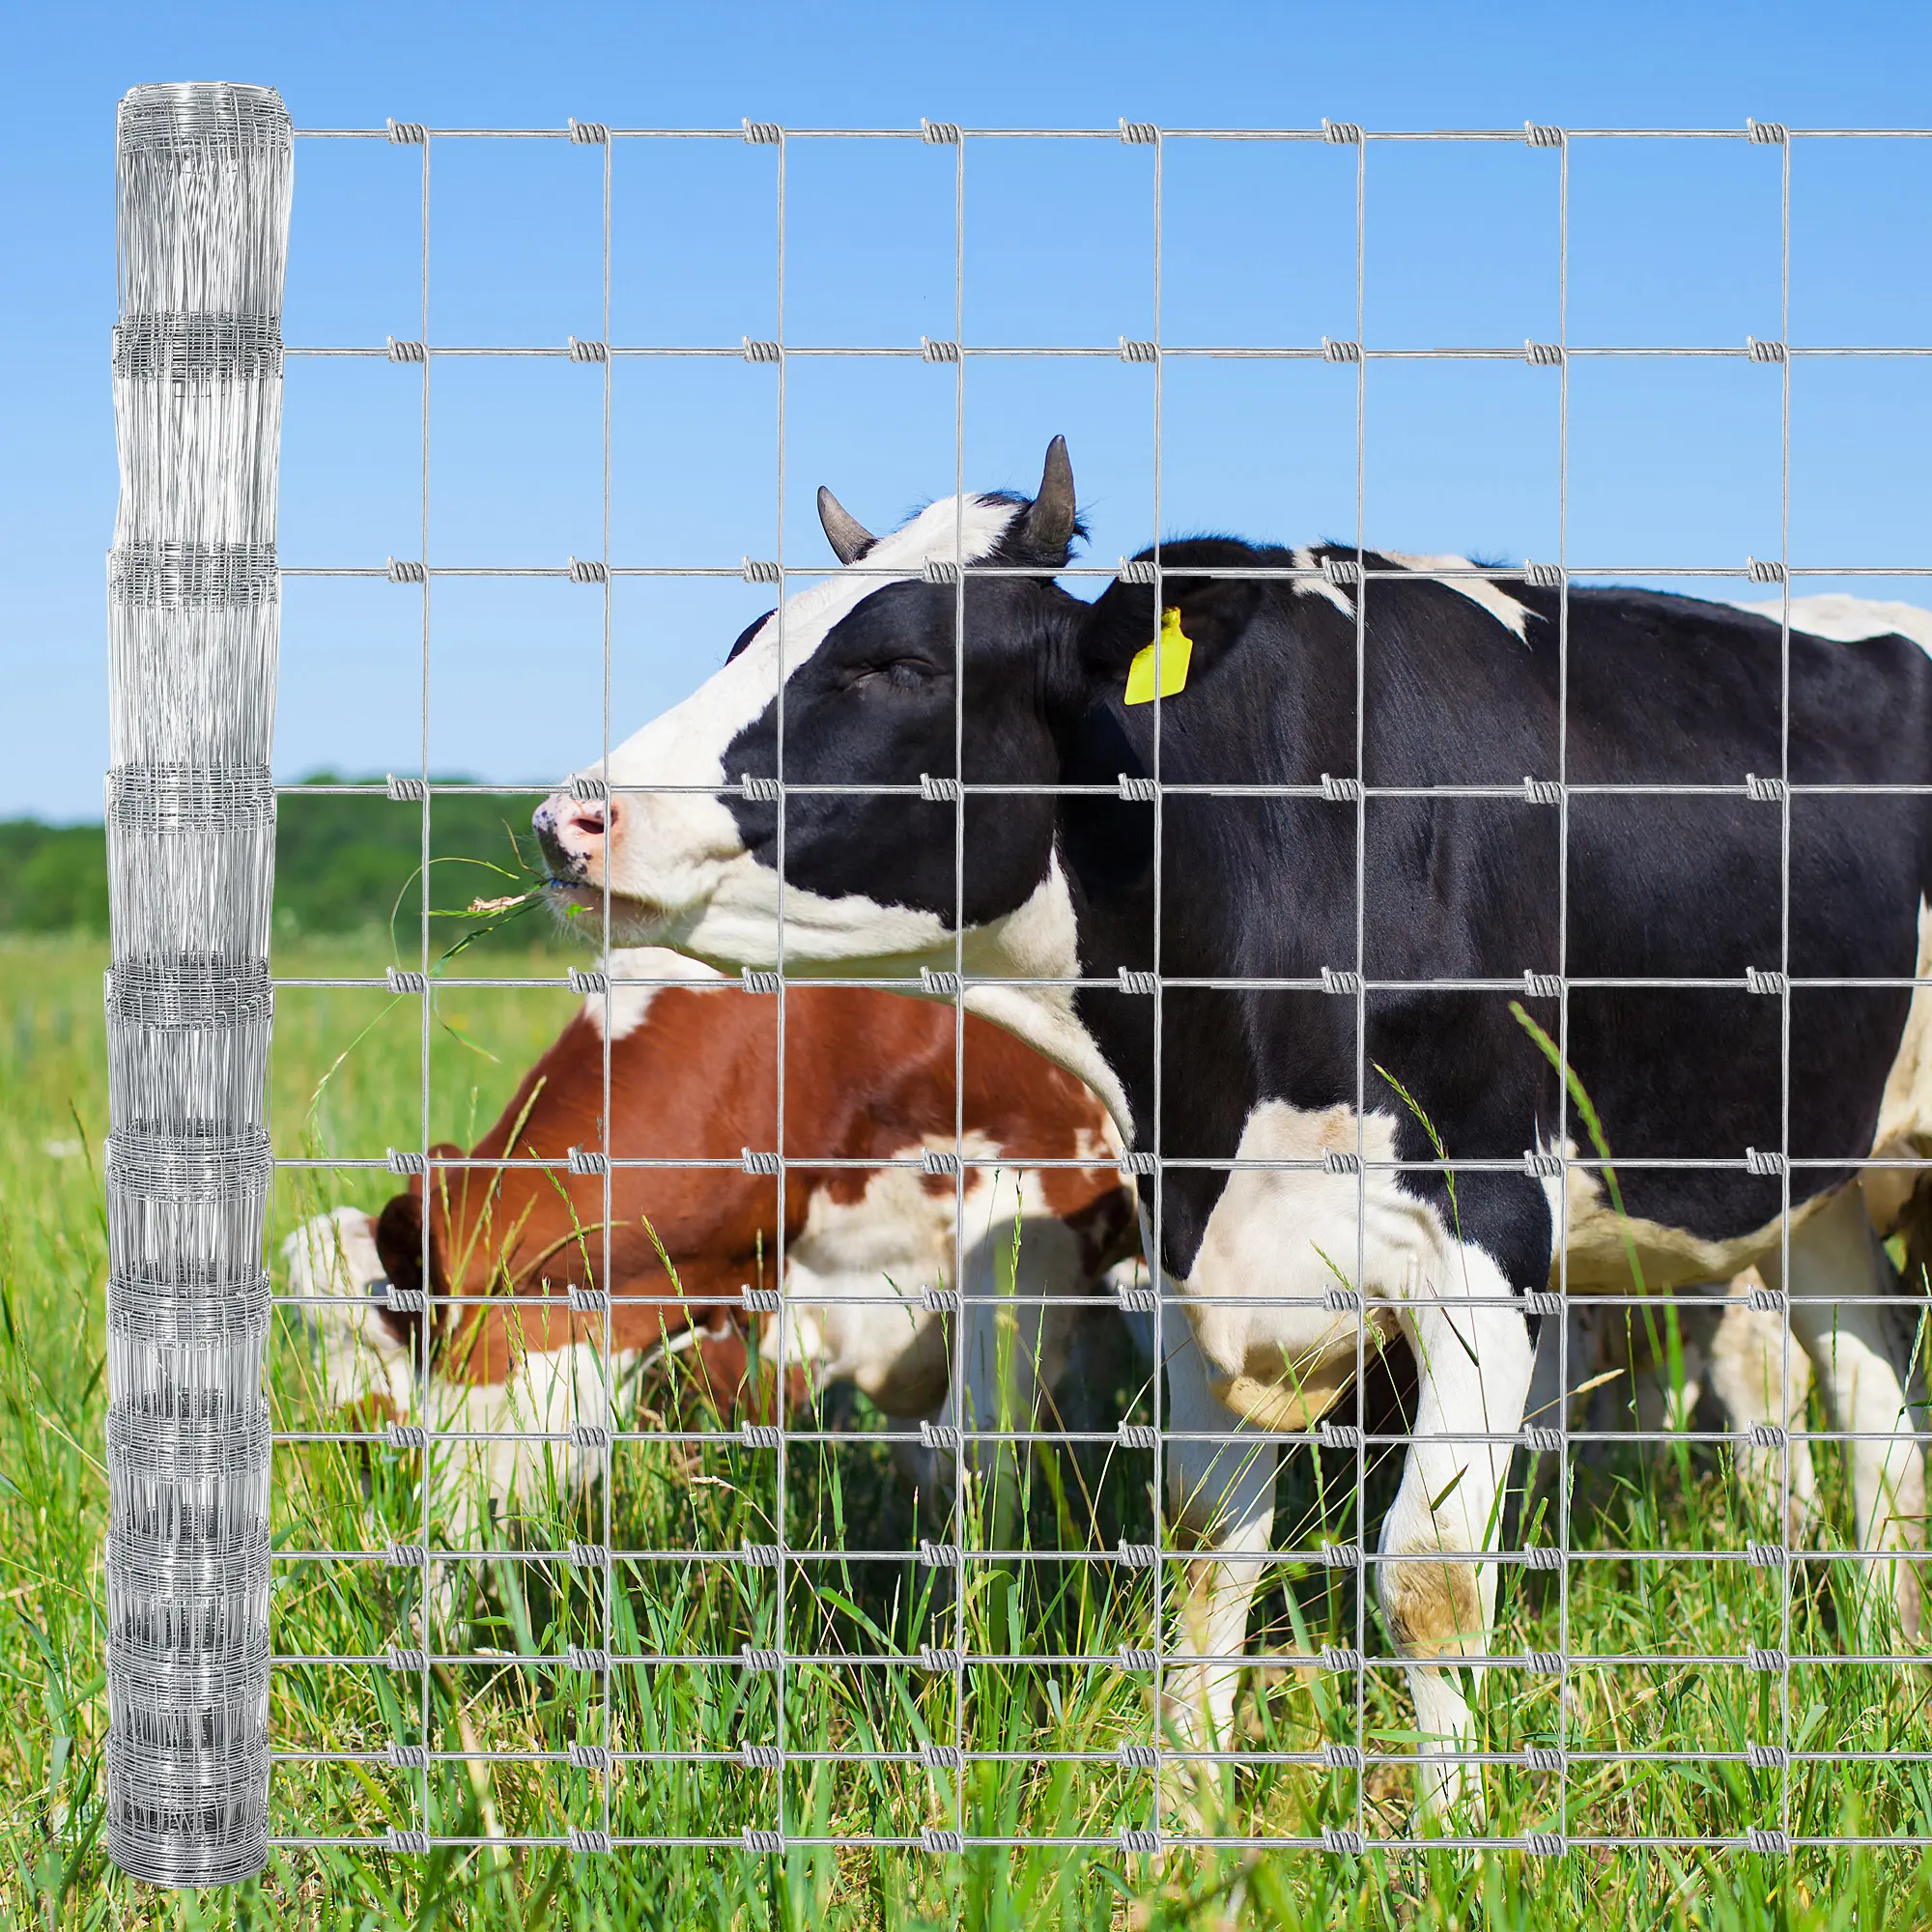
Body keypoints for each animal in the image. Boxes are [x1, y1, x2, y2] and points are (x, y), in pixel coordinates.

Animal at [531, 440, 1932, 1823]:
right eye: (748, 637)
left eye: (899, 666)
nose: (569, 819)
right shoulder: (1192, 1242)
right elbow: (1206, 1546)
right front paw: (1187, 1815)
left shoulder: (1484, 1233)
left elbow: (1428, 1576)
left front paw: (1455, 1834)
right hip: (1821, 1181)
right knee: (1870, 1399)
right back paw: (1889, 1646)